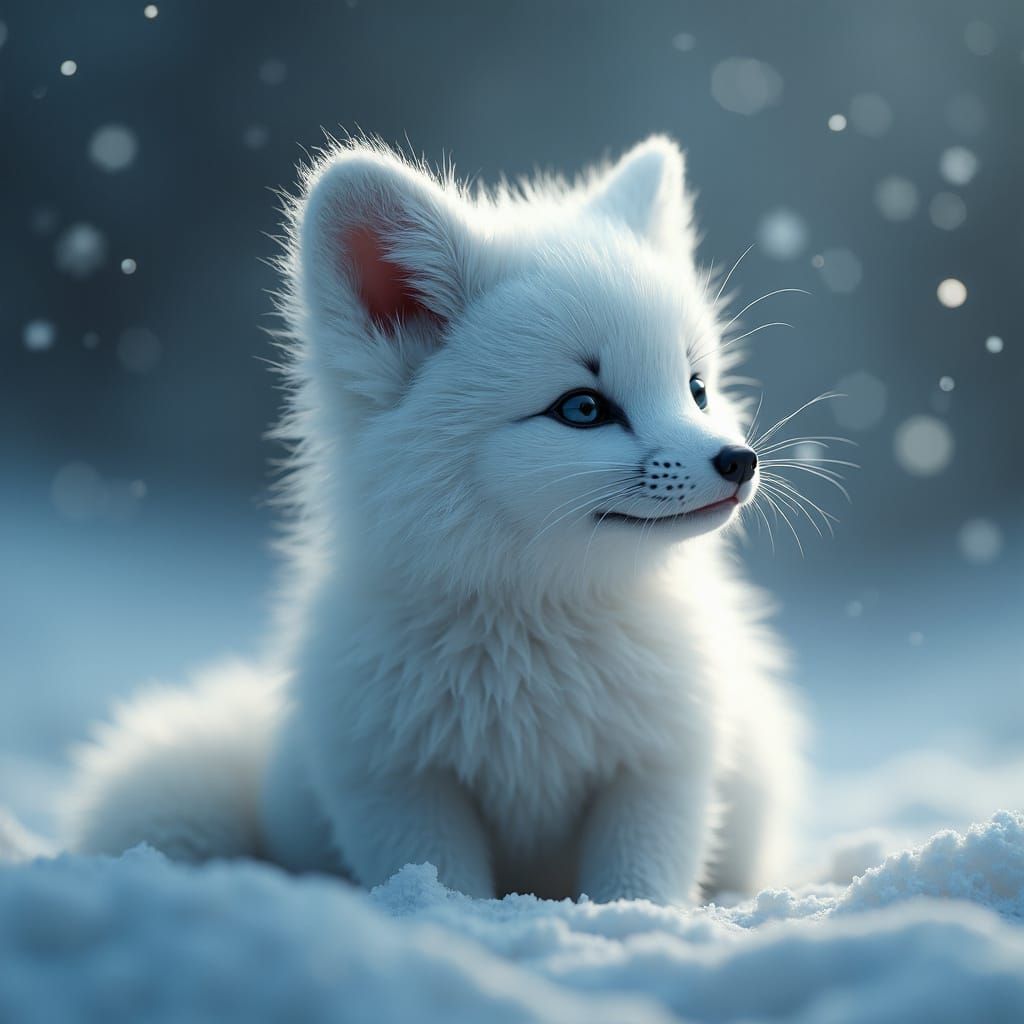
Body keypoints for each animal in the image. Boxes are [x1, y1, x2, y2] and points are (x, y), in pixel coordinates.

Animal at [67, 136, 805, 903]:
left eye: (696, 388)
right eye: (583, 408)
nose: (740, 461)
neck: (533, 629)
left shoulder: (660, 770)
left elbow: (637, 884)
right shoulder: (398, 785)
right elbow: (440, 886)